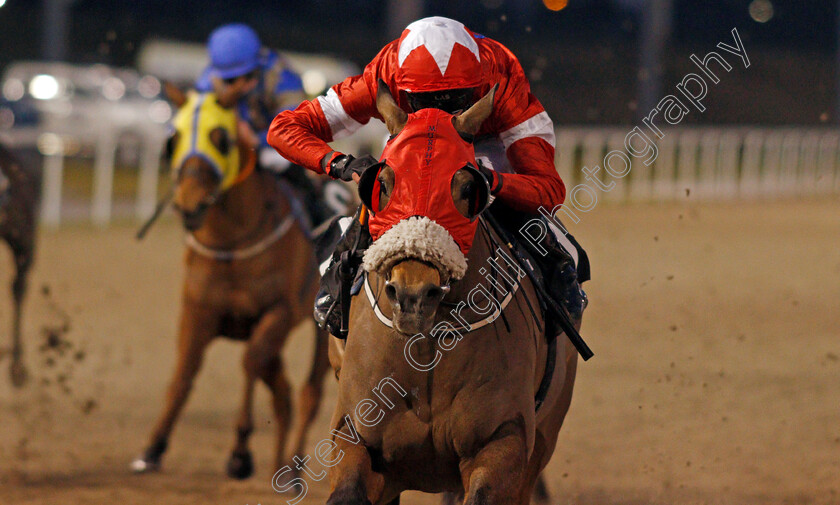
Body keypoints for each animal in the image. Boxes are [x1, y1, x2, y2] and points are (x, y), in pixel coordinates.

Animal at [131, 88, 332, 478]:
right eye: (174, 137)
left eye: (220, 137)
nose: (189, 204)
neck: (232, 244)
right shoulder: (197, 312)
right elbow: (185, 372)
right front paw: (153, 447)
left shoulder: (280, 311)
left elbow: (250, 362)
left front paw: (240, 452)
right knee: (283, 391)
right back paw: (281, 469)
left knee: (309, 393)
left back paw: (295, 467)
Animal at [318, 85, 580, 504]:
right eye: (384, 182)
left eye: (467, 188)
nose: (412, 293)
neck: (425, 349)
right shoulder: (356, 439)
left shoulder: (502, 443)